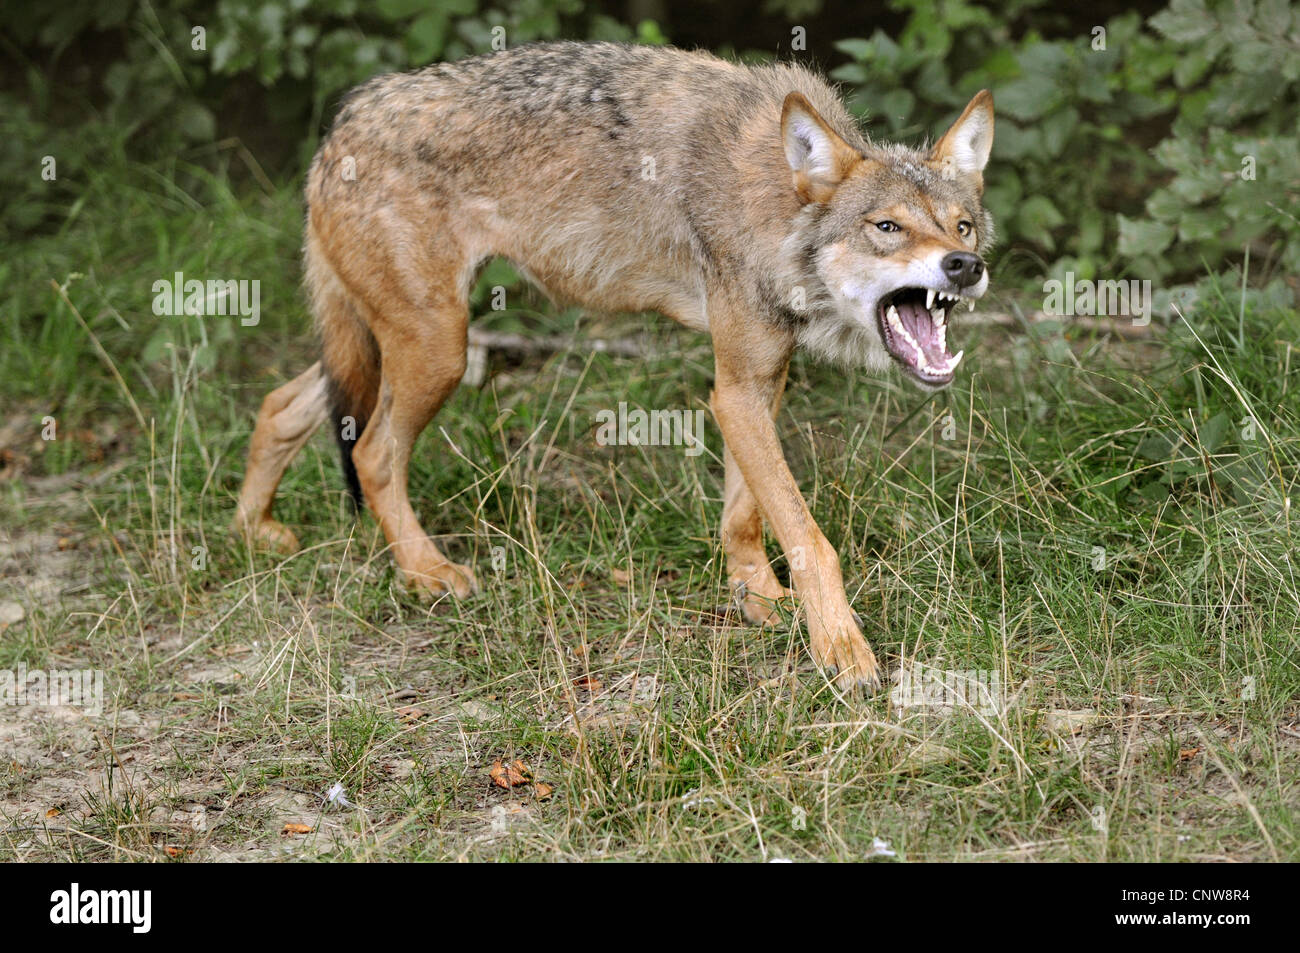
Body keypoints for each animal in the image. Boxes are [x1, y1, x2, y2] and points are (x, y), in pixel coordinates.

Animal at [231, 39, 993, 691]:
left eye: (962, 225)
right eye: (888, 227)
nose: (966, 265)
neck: (774, 199)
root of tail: (343, 122)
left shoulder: (755, 382)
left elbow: (745, 515)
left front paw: (758, 597)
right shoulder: (735, 391)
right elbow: (810, 539)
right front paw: (841, 650)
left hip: (392, 344)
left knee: (279, 405)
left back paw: (252, 532)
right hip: (438, 348)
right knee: (372, 454)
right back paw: (425, 571)